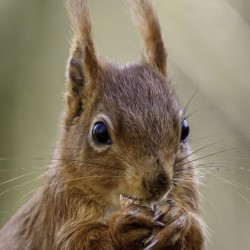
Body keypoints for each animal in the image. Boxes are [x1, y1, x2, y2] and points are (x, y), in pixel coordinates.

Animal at [0, 0, 205, 249]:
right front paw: (121, 227)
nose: (160, 182)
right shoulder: (55, 217)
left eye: (184, 129)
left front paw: (180, 220)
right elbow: (77, 242)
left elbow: (197, 235)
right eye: (99, 132)